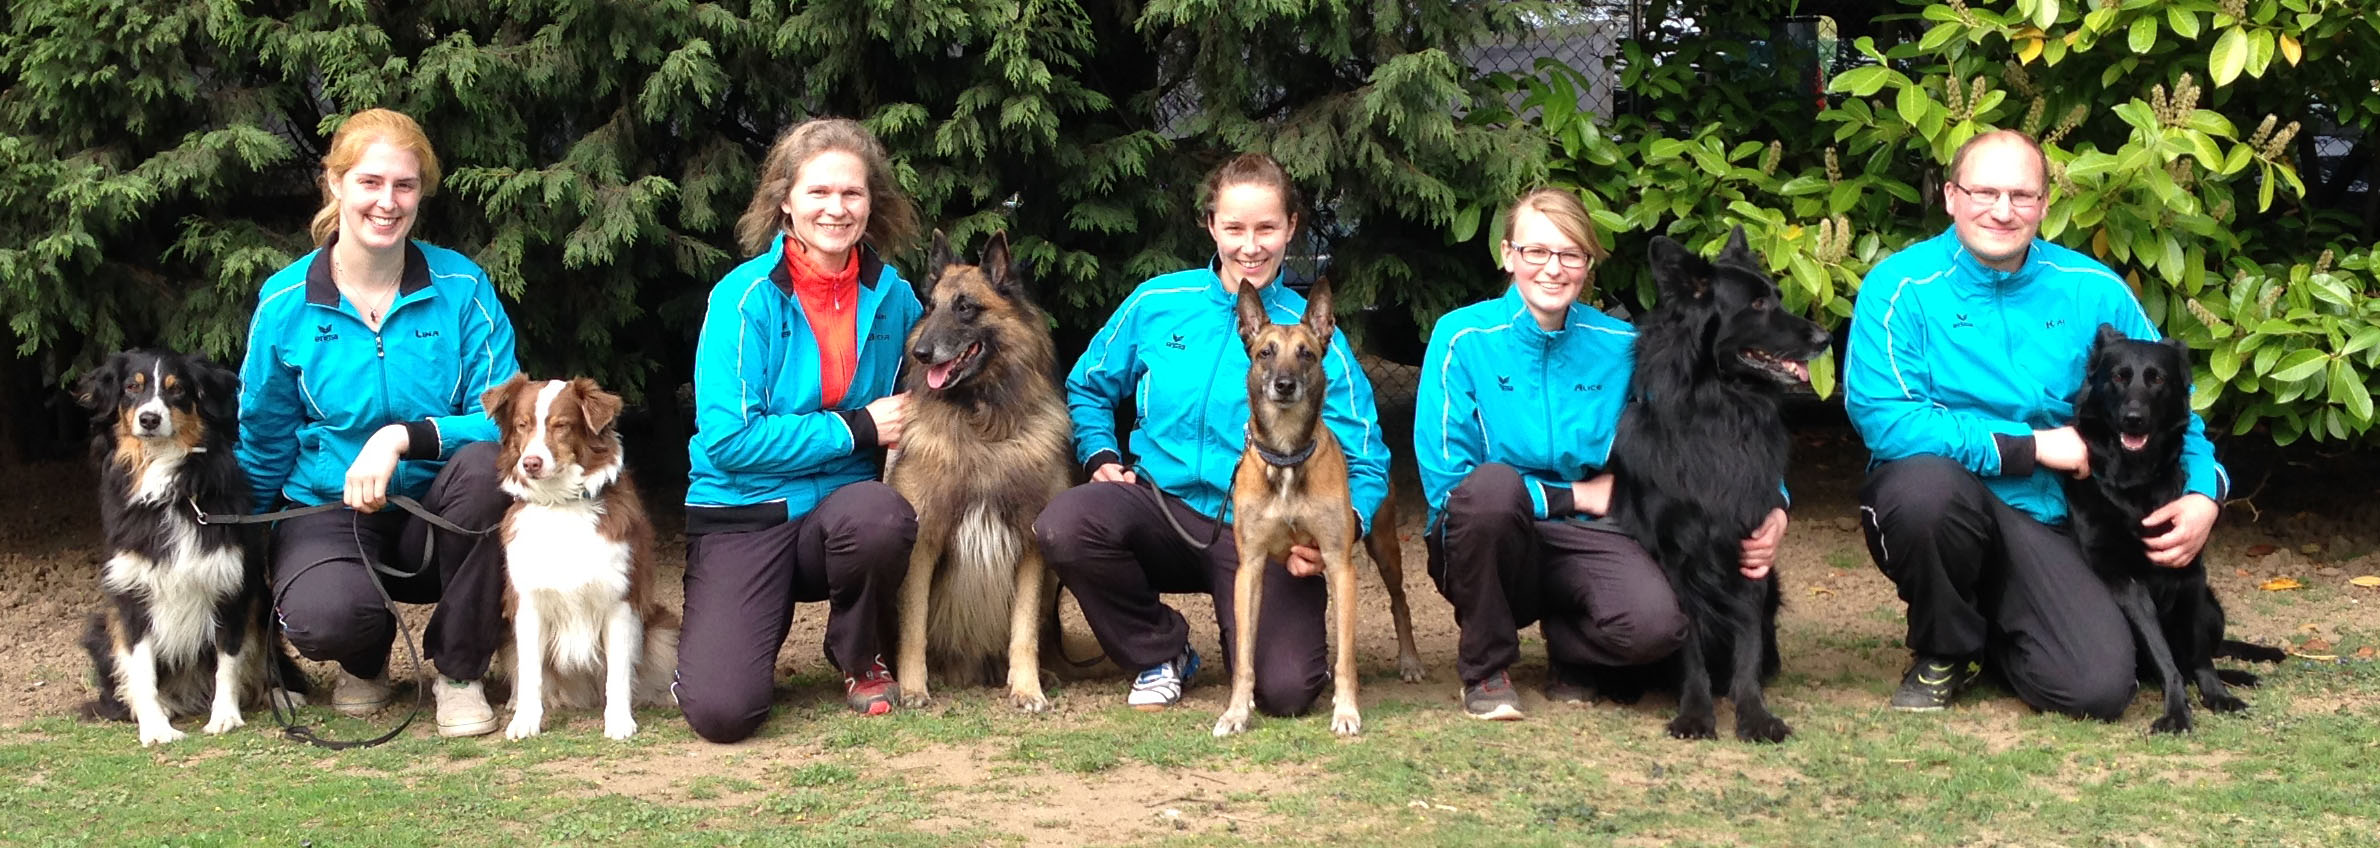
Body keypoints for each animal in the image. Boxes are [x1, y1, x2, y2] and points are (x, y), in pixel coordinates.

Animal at [76, 347, 307, 743]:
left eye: (178, 389)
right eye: (131, 388)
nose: (149, 419)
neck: (170, 489)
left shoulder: (232, 588)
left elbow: (228, 662)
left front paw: (225, 716)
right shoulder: (132, 593)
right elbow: (142, 668)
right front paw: (155, 727)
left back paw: (278, 693)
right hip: (100, 627)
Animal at [1608, 228, 1827, 743]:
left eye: (1778, 295)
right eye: (1759, 304)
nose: (1826, 338)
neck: (1720, 410)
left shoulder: (1748, 544)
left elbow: (1747, 641)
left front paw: (1754, 714)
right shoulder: (1675, 557)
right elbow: (1689, 646)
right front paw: (1695, 713)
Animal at [2065, 323, 2284, 733]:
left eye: (2157, 380)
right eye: (2118, 377)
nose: (2133, 418)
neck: (2135, 482)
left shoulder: (2190, 573)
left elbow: (2199, 655)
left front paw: (2217, 695)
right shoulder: (2127, 584)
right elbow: (2163, 655)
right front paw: (2177, 710)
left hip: (2213, 605)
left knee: (2206, 651)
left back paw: (2237, 675)